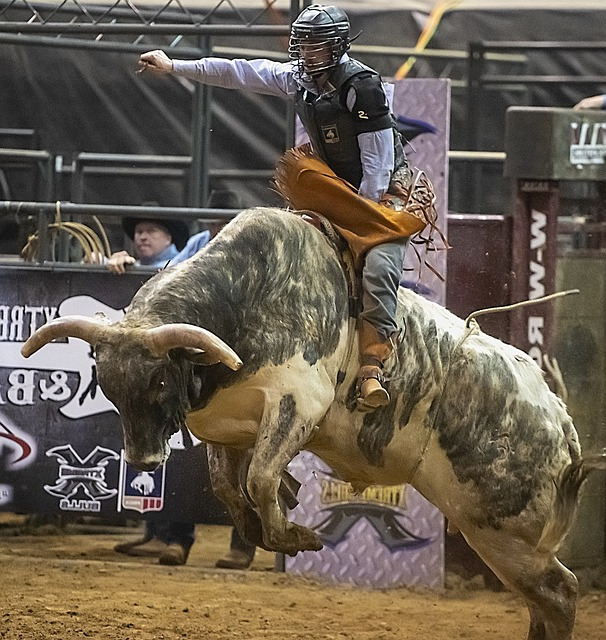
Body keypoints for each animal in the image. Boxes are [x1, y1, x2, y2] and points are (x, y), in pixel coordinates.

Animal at [22, 208, 606, 636]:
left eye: (159, 383)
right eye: (108, 386)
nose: (143, 461)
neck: (245, 296)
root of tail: (561, 423)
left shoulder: (297, 400)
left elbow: (259, 478)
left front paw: (292, 536)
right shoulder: (228, 426)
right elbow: (230, 487)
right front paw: (263, 524)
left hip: (503, 529)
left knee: (559, 593)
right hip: (498, 536)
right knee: (543, 601)